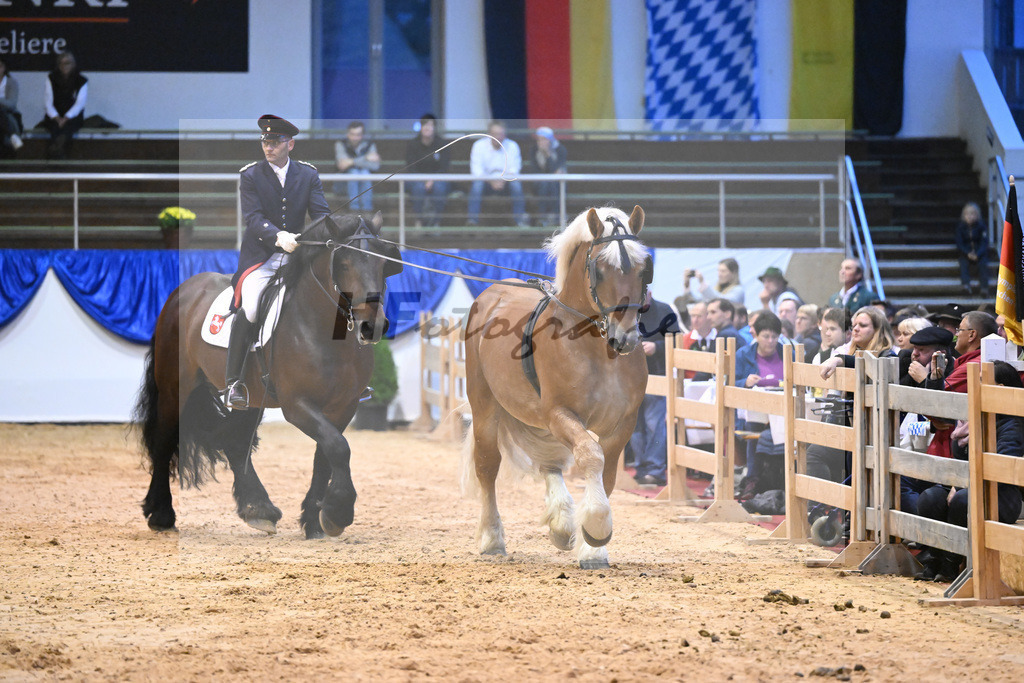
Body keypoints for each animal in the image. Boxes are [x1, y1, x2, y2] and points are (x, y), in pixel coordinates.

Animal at [135, 210, 403, 536]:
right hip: (177, 387)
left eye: (382, 263)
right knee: (163, 441)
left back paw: (259, 509)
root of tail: (182, 292)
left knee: (236, 442)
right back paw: (161, 515)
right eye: (343, 263)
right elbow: (339, 448)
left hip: (251, 397)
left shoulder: (344, 406)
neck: (321, 330)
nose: (371, 327)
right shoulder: (297, 405)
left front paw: (315, 518)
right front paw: (337, 512)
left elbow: (326, 454)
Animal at [462, 205, 647, 569]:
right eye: (600, 268)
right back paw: (491, 538)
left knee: (549, 462)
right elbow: (590, 455)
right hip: (485, 405)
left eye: (643, 267)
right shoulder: (561, 412)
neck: (596, 348)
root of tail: (491, 294)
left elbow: (607, 473)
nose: (626, 337)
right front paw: (596, 528)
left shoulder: (622, 423)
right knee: (488, 466)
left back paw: (561, 524)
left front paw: (591, 546)